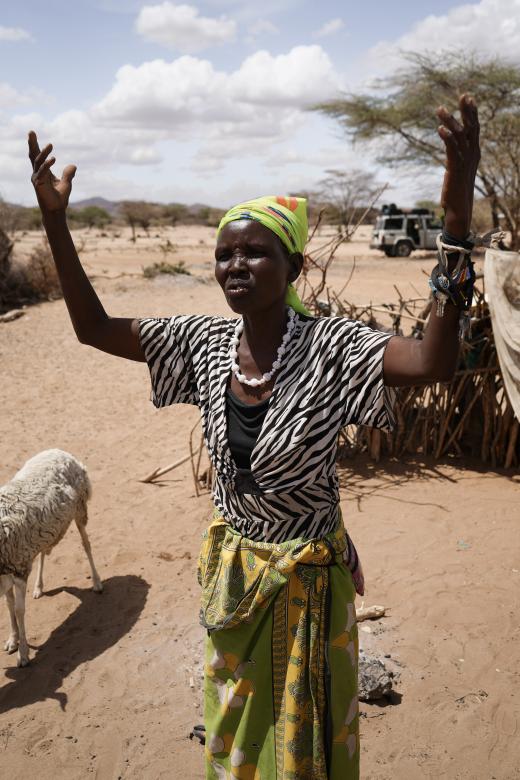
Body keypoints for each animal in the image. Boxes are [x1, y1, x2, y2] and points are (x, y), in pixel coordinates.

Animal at [0, 448, 102, 668]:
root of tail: (60, 451)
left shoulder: (19, 566)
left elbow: (19, 610)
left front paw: (23, 654)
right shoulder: (8, 568)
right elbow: (9, 604)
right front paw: (13, 640)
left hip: (80, 509)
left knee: (86, 545)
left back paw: (97, 582)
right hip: (43, 532)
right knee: (43, 553)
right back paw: (39, 587)